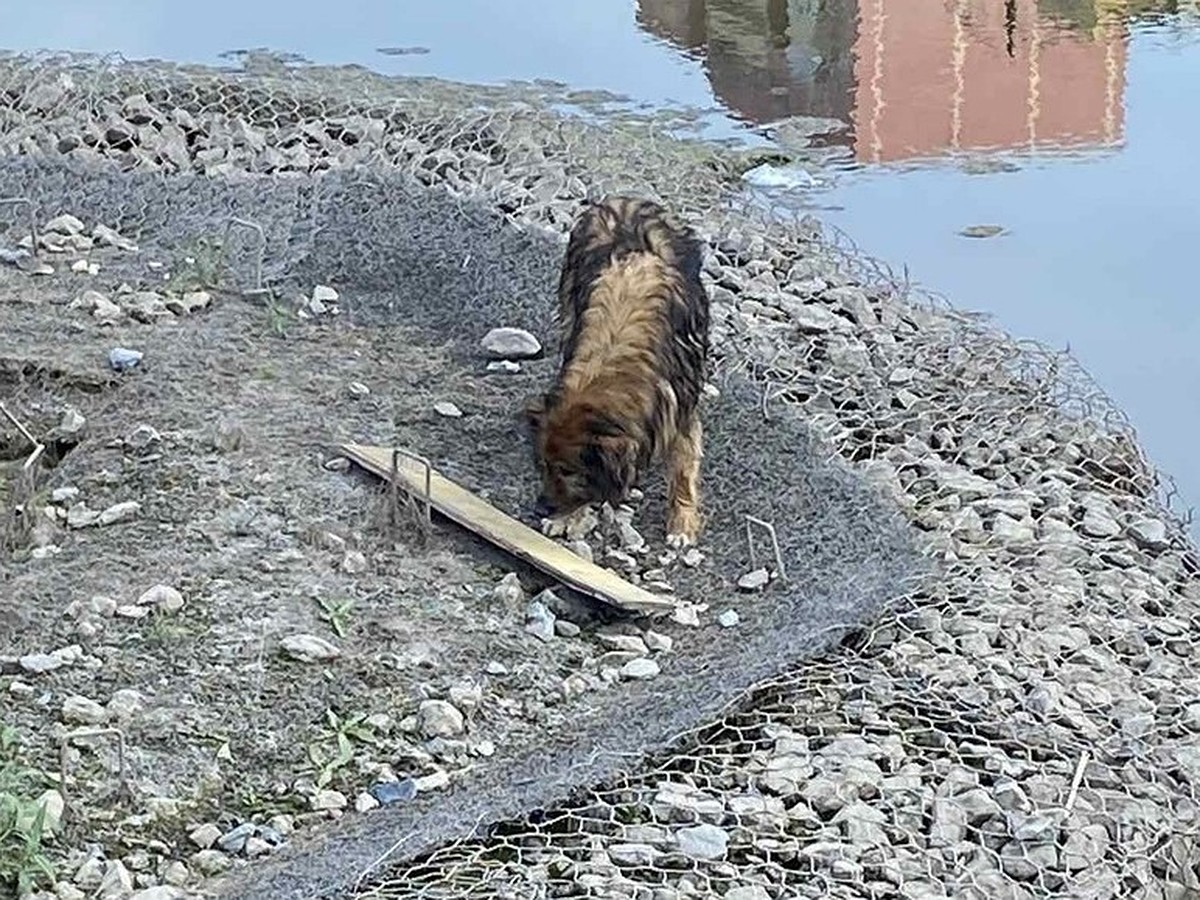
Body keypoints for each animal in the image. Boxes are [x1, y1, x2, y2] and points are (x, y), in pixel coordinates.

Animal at [528, 195, 710, 549]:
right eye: (544, 464)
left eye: (568, 471)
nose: (540, 507)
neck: (615, 358)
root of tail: (624, 200)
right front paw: (567, 518)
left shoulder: (680, 409)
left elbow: (683, 469)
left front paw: (681, 523)